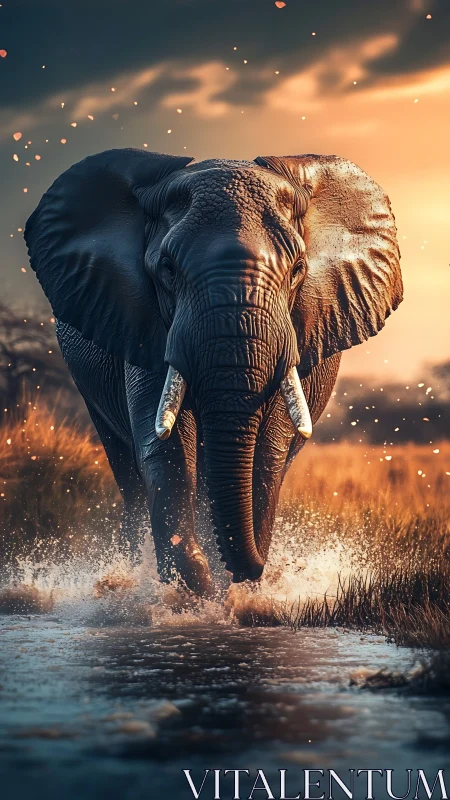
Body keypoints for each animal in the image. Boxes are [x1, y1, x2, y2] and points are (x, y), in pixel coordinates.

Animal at [24, 149, 402, 596]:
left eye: (297, 270)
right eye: (167, 269)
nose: (255, 569)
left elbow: (267, 453)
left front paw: (231, 594)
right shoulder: (144, 324)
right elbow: (166, 447)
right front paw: (192, 588)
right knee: (127, 471)